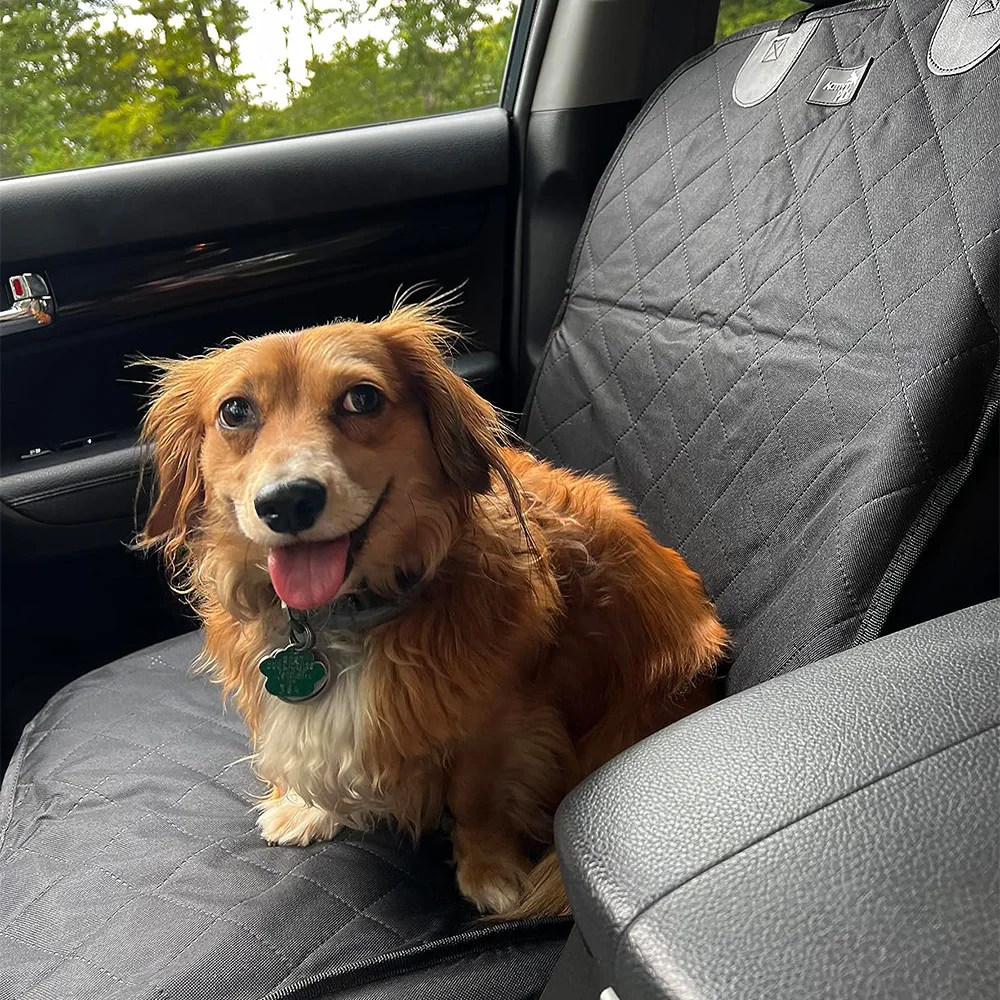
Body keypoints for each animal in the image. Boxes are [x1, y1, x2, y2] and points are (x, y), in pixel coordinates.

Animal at [137, 300, 727, 918]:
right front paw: (306, 807)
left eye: (362, 398)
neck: (343, 615)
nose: (288, 501)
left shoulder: (501, 720)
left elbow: (478, 799)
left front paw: (490, 871)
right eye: (235, 411)